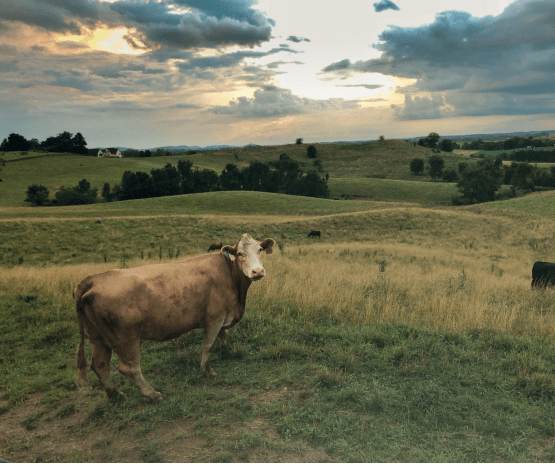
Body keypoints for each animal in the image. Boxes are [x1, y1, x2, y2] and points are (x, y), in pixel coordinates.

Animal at [75, 234, 274, 400]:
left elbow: (223, 336)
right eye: (240, 253)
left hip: (97, 335)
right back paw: (152, 394)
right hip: (125, 338)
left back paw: (116, 395)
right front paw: (207, 371)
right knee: (129, 368)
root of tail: (93, 279)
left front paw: (227, 353)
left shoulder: (225, 314)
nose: (258, 271)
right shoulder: (214, 317)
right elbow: (208, 345)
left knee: (100, 365)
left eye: (259, 250)